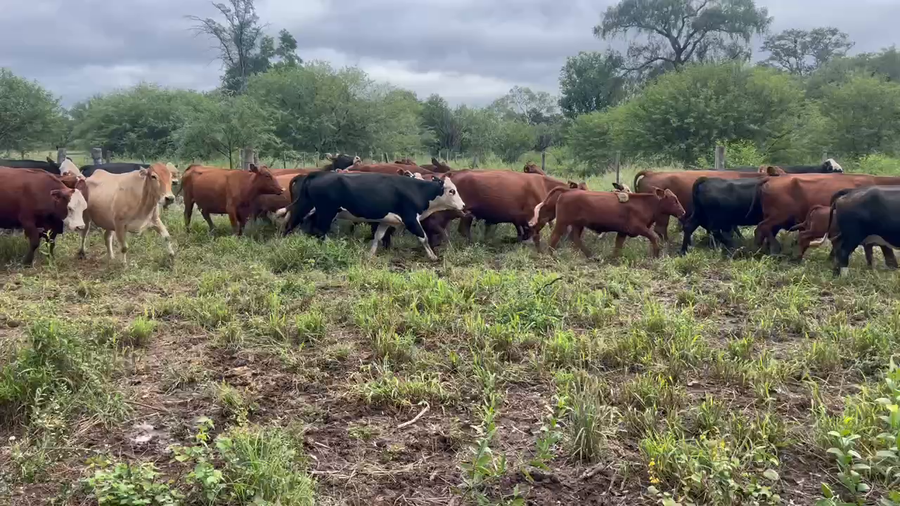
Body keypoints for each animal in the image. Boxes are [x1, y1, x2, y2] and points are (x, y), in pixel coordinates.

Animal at [282, 171, 465, 260]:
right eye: (452, 191)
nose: (463, 205)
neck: (417, 190)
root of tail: (317, 174)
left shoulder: (386, 221)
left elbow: (378, 236)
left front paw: (370, 254)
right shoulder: (411, 219)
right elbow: (423, 238)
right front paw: (433, 256)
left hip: (309, 208)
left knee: (292, 224)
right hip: (327, 211)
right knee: (320, 231)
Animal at [543, 188, 685, 258]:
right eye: (674, 200)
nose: (683, 212)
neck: (646, 204)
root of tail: (566, 192)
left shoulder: (623, 231)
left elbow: (618, 245)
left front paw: (614, 258)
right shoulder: (638, 227)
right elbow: (654, 237)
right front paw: (656, 254)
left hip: (578, 224)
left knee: (575, 238)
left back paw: (590, 255)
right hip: (562, 222)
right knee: (554, 237)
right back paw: (551, 255)